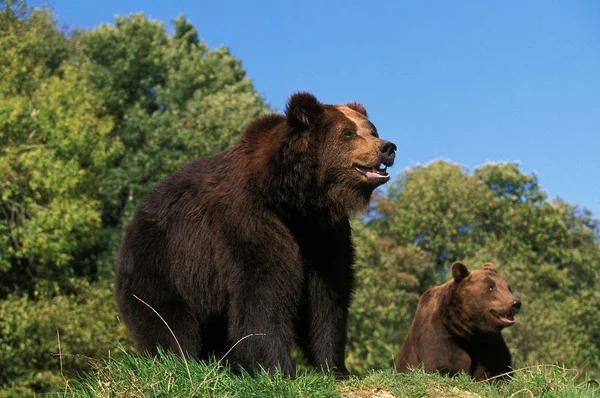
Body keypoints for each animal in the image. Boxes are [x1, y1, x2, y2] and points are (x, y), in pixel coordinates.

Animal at [116, 91, 398, 380]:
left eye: (371, 130)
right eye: (348, 133)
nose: (387, 147)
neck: (294, 202)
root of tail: (136, 217)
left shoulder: (323, 235)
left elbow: (327, 301)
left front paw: (335, 368)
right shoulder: (250, 222)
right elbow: (264, 292)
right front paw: (278, 369)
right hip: (166, 262)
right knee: (168, 319)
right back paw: (176, 359)